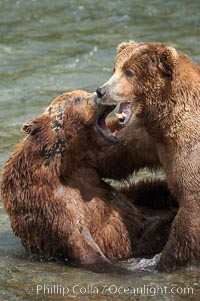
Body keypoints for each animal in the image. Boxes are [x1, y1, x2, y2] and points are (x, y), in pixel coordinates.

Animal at [0, 89, 176, 268]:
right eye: (77, 100)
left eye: (84, 93)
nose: (100, 94)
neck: (65, 164)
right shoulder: (49, 198)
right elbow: (78, 237)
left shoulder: (91, 161)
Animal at [95, 39, 200, 270]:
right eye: (115, 68)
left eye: (129, 72)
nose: (101, 91)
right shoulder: (151, 138)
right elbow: (119, 154)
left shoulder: (190, 150)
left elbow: (190, 208)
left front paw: (163, 261)